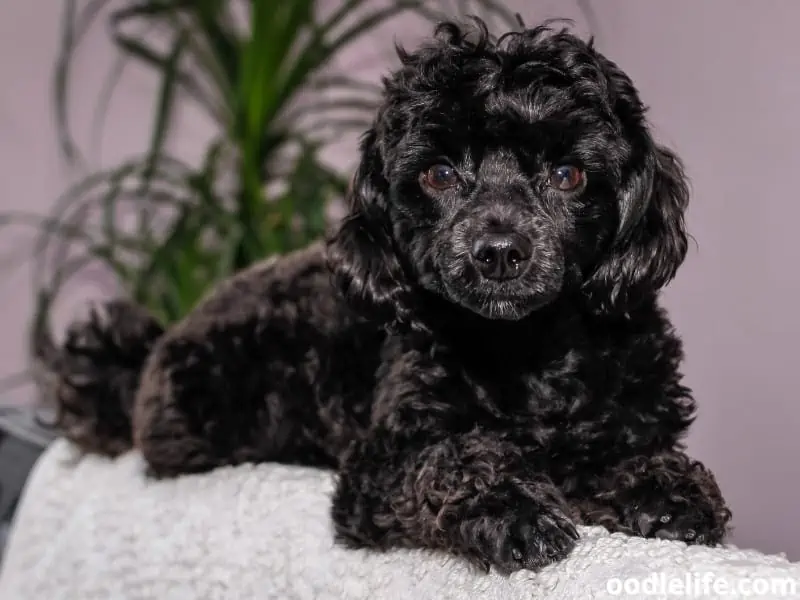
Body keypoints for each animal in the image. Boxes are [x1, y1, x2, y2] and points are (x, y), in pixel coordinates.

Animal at [42, 18, 732, 572]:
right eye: (440, 174)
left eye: (568, 175)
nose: (499, 251)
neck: (526, 353)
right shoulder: (380, 468)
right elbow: (458, 459)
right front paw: (517, 511)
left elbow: (633, 455)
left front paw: (669, 493)